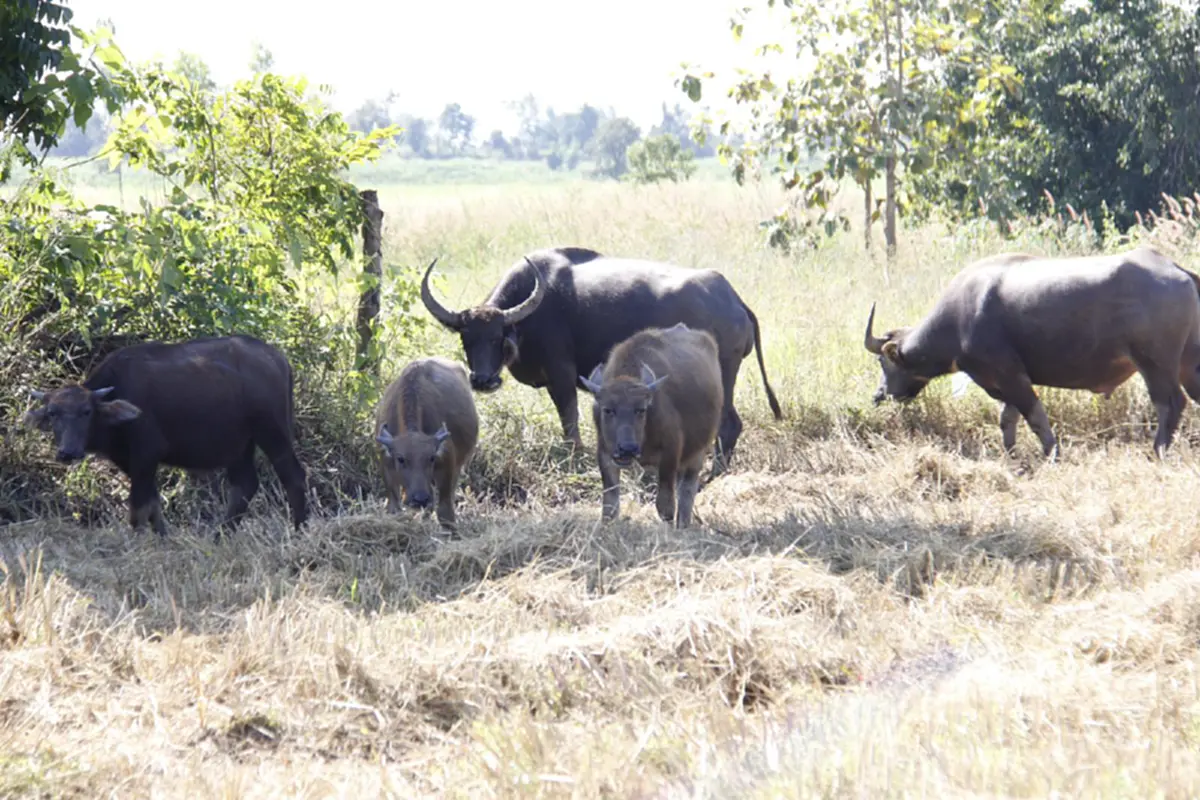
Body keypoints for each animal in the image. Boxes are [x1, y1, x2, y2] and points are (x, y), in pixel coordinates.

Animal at [25, 335, 309, 534]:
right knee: (245, 485)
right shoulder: (133, 463)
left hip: (273, 433)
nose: (68, 452)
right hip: (239, 445)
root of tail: (279, 359)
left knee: (293, 477)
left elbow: (138, 509)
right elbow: (153, 505)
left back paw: (299, 530)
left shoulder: (146, 455)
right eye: (52, 413)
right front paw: (162, 538)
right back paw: (221, 535)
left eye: (86, 411)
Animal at [374, 357, 477, 532]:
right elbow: (394, 509)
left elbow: (445, 512)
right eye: (400, 459)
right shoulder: (386, 467)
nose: (420, 499)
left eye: (431, 458)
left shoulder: (446, 467)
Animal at [422, 245, 787, 474]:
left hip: (723, 376)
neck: (530, 316)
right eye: (466, 338)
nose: (483, 380)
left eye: (499, 336)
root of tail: (734, 301)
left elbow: (569, 422)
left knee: (728, 424)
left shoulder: (562, 375)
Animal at [580, 321, 720, 527]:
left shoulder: (670, 455)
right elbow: (610, 506)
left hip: (698, 452)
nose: (627, 449)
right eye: (608, 410)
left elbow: (665, 505)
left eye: (641, 410)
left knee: (687, 490)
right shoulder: (605, 455)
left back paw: (683, 524)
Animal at [864, 244, 1200, 460]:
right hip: (1188, 362)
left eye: (883, 362)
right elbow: (1007, 419)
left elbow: (1035, 415)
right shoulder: (1004, 381)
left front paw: (1052, 453)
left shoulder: (1009, 374)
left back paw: (1158, 451)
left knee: (1170, 403)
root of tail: (1177, 270)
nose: (878, 395)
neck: (961, 316)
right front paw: (1011, 454)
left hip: (1155, 363)